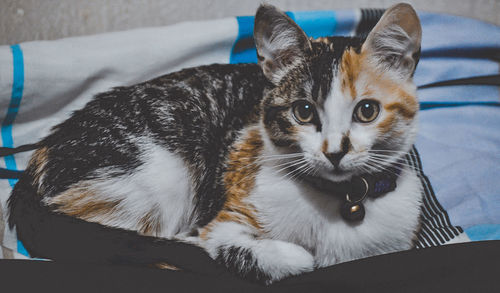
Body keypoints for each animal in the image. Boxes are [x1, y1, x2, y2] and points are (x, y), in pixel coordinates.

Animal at [7, 2, 422, 282]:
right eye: (303, 111)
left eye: (367, 110)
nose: (335, 151)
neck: (338, 202)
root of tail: (45, 148)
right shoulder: (225, 218)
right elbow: (265, 255)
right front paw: (293, 257)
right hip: (158, 171)